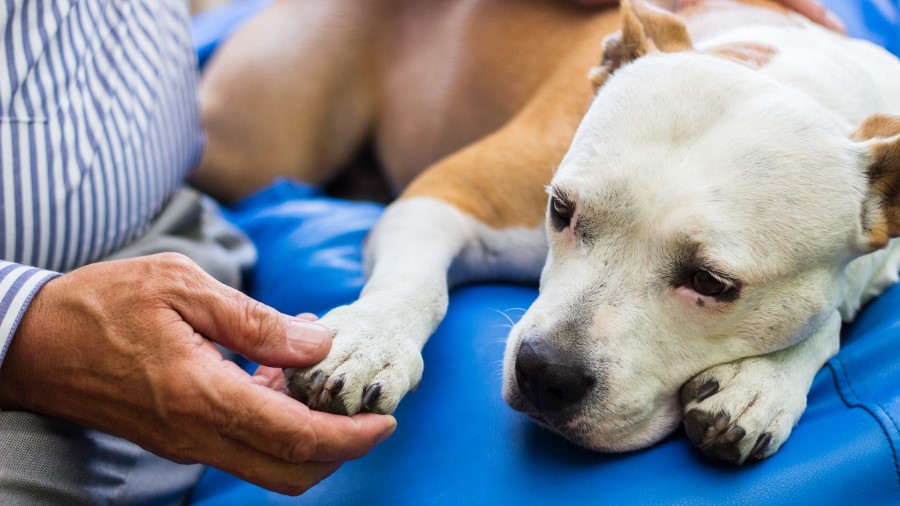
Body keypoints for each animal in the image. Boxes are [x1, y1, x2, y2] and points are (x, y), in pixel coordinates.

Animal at [197, 0, 900, 462]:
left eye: (711, 283)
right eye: (561, 210)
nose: (544, 374)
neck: (788, 71)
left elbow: (833, 315)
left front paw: (763, 384)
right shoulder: (450, 193)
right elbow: (417, 284)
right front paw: (367, 342)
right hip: (258, 141)